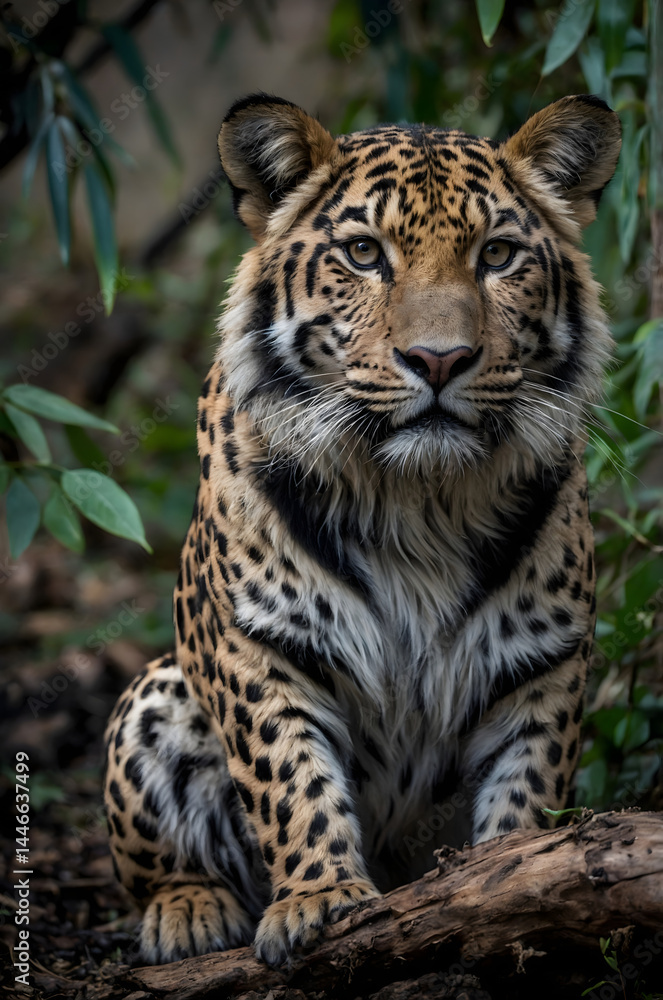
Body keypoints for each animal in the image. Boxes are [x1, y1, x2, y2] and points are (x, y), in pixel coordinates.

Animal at [104, 92, 621, 967]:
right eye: (362, 253)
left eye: (497, 255)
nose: (439, 359)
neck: (417, 501)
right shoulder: (261, 648)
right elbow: (290, 781)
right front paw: (321, 898)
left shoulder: (541, 664)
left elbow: (526, 789)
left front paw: (510, 885)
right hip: (155, 693)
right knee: (157, 864)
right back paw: (189, 914)